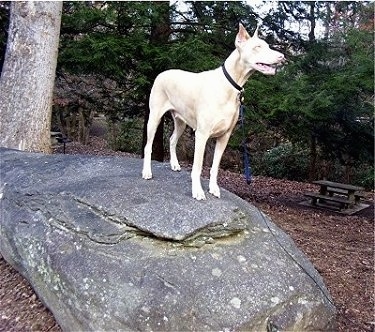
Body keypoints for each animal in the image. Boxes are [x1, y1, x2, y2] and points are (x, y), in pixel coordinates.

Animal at [142, 24, 284, 200]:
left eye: (268, 45)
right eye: (257, 47)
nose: (282, 57)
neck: (229, 85)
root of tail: (162, 73)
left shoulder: (224, 137)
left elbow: (215, 167)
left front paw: (213, 188)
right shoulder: (201, 135)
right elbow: (197, 167)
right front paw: (197, 191)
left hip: (181, 121)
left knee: (172, 139)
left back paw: (174, 164)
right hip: (154, 118)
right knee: (148, 146)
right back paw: (146, 172)